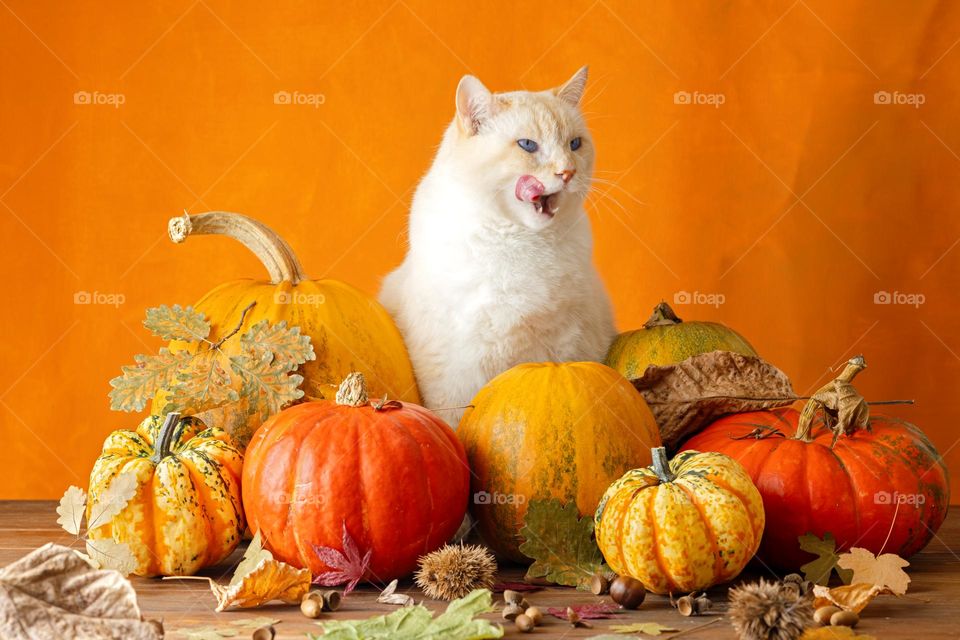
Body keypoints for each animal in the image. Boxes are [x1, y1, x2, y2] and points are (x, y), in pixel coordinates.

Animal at [376, 67, 616, 424]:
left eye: (575, 144)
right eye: (528, 145)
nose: (568, 172)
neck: (520, 240)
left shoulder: (567, 343)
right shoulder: (454, 373)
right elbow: (454, 424)